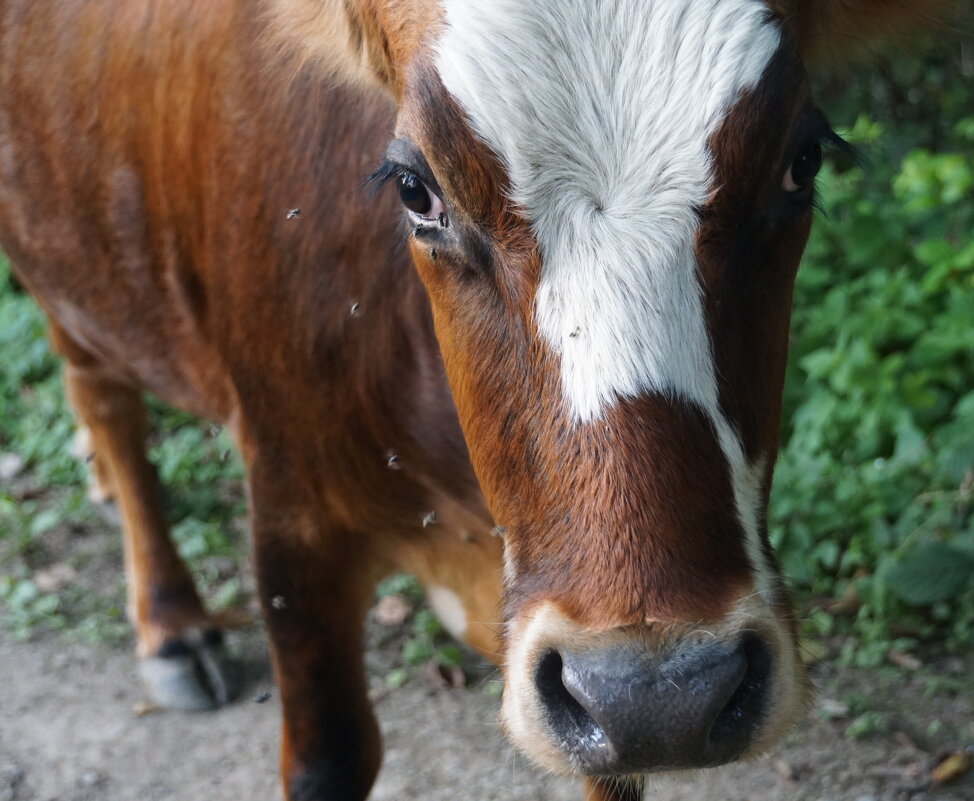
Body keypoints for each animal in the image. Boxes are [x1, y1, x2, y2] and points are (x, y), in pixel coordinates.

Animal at [0, 1, 944, 800]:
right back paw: (171, 620)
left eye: (801, 161)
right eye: (416, 188)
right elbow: (328, 754)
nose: (661, 691)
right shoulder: (293, 519)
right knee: (103, 393)